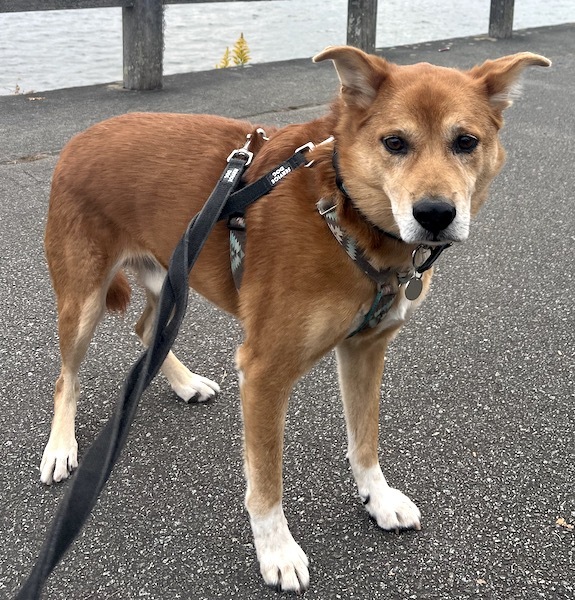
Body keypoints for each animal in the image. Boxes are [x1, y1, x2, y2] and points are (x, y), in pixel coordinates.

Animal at [40, 46, 550, 592]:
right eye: (394, 143)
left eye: (466, 142)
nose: (435, 214)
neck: (343, 210)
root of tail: (80, 139)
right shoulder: (265, 372)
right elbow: (266, 480)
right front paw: (277, 551)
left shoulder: (366, 348)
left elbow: (365, 438)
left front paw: (377, 497)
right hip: (84, 300)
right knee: (66, 377)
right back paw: (61, 446)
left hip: (173, 275)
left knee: (144, 330)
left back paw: (184, 383)